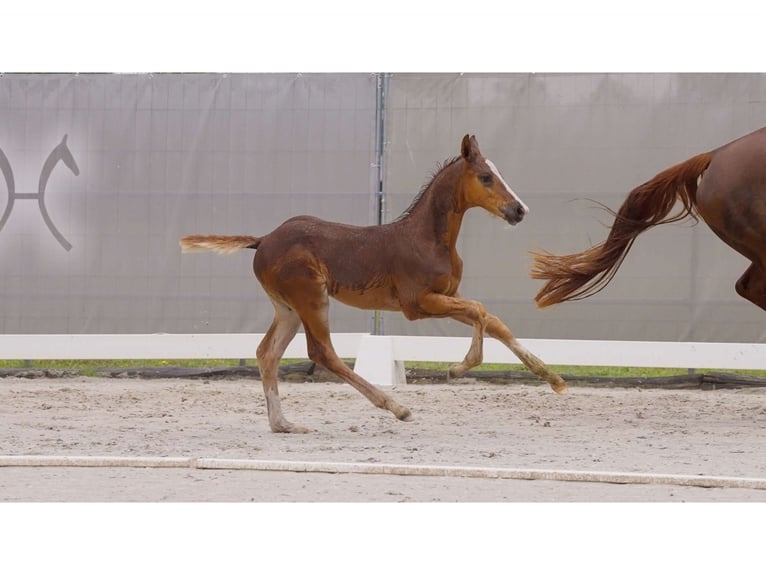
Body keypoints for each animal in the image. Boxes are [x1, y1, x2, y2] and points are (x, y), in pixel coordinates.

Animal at [180, 134, 564, 432]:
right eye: (485, 177)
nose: (519, 210)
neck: (426, 238)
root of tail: (263, 240)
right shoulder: (417, 304)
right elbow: (481, 311)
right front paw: (458, 368)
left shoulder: (446, 295)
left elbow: (493, 321)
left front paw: (554, 379)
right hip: (311, 298)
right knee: (321, 351)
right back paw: (397, 407)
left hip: (287, 308)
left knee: (267, 353)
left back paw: (283, 424)